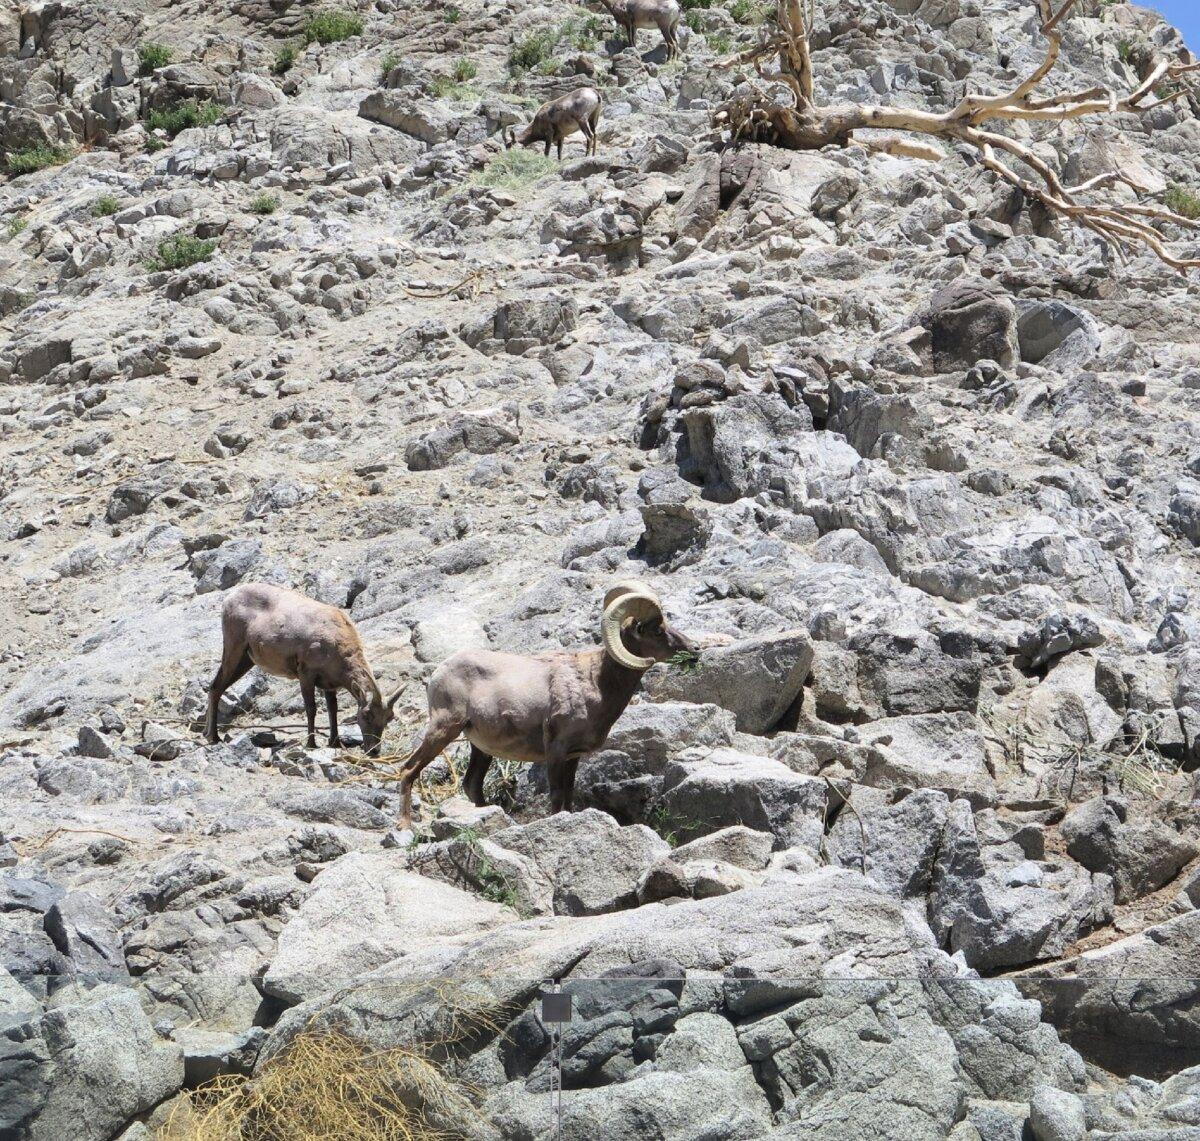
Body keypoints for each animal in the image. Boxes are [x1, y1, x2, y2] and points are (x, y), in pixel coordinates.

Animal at [205, 583, 401, 756]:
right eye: (366, 715)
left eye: (389, 717)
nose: (374, 751)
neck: (336, 641)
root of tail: (229, 599)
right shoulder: (306, 674)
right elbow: (311, 708)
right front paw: (311, 743)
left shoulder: (330, 685)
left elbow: (332, 709)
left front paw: (334, 742)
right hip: (234, 649)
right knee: (215, 687)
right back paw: (213, 737)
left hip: (246, 660)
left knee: (217, 687)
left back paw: (208, 735)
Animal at [395, 581, 696, 828]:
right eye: (657, 630)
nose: (694, 649)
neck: (596, 683)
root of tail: (438, 673)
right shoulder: (556, 751)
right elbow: (556, 797)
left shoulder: (573, 757)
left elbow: (569, 796)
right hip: (444, 728)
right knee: (409, 769)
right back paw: (405, 827)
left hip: (480, 748)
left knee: (472, 785)